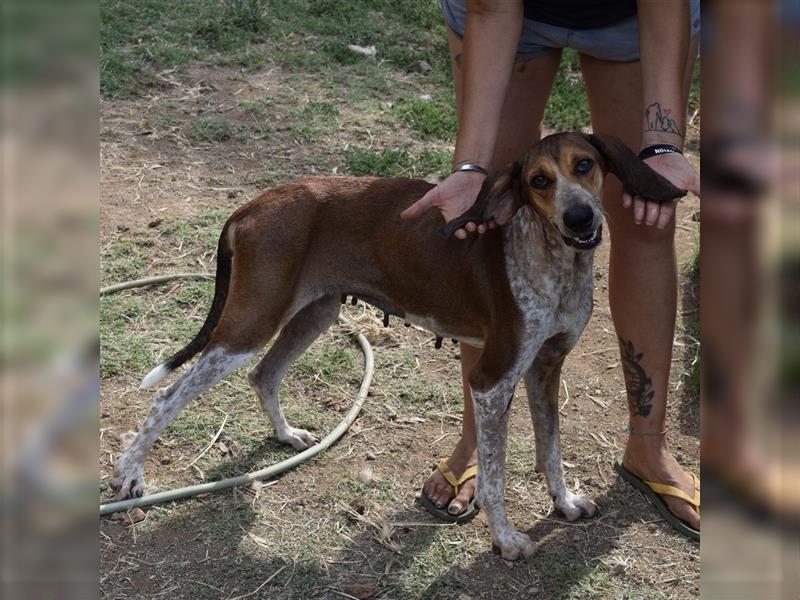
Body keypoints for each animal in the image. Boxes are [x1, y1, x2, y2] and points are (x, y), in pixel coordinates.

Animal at [111, 130, 680, 556]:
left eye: (585, 165)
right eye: (538, 181)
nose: (580, 217)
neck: (551, 258)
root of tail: (251, 206)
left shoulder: (546, 367)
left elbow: (551, 451)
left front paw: (564, 505)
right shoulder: (493, 379)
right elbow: (494, 476)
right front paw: (505, 539)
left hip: (314, 313)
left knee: (264, 373)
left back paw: (287, 435)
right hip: (250, 325)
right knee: (167, 396)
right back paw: (130, 475)